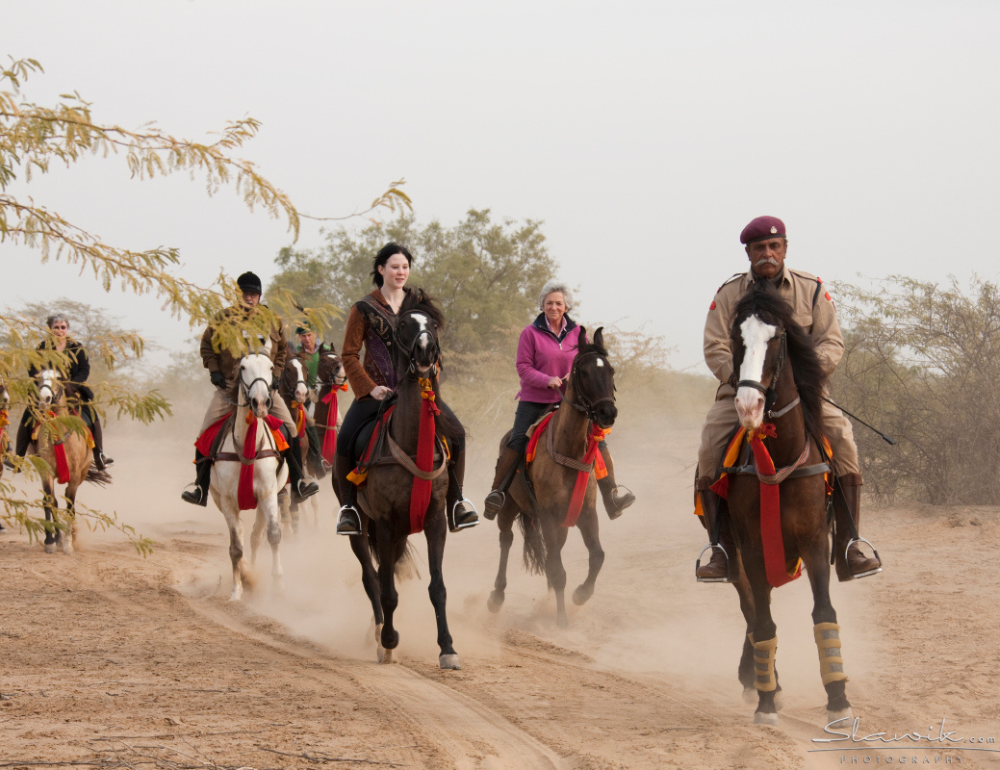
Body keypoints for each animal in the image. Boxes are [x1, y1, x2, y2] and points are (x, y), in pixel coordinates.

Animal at [211, 352, 290, 596]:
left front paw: (278, 585)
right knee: (241, 535)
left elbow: (273, 535)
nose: (261, 402)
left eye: (271, 367)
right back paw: (246, 574)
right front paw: (236, 591)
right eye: (243, 367)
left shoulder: (268, 494)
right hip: (219, 501)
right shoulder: (227, 502)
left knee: (256, 536)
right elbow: (236, 547)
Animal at [486, 328, 616, 628]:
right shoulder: (547, 515)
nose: (608, 413)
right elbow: (558, 569)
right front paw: (562, 620)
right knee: (506, 539)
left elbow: (597, 556)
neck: (568, 450)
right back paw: (497, 596)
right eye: (584, 372)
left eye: (611, 371)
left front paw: (580, 595)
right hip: (509, 508)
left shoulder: (586, 513)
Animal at [720, 280, 852, 724]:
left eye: (776, 339)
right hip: (737, 557)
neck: (780, 460)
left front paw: (838, 699)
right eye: (736, 339)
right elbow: (762, 621)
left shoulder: (814, 543)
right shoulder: (753, 549)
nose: (748, 406)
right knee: (751, 609)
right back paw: (762, 681)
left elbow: (824, 614)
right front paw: (765, 701)